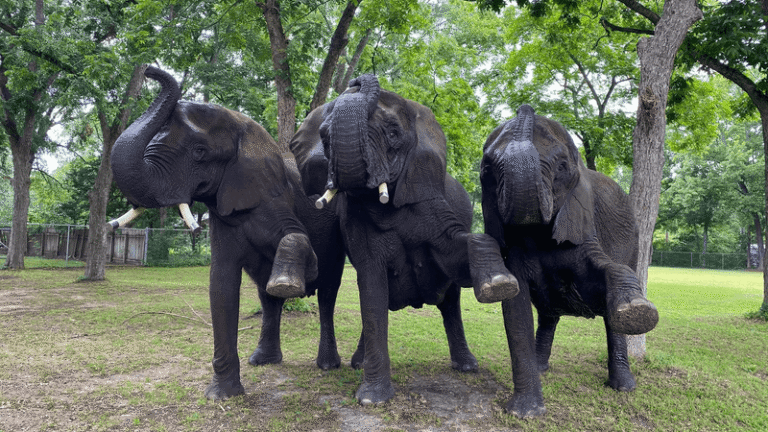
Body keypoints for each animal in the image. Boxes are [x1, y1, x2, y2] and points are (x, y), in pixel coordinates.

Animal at [110, 66, 347, 401]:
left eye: (199, 152)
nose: (149, 70)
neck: (241, 126)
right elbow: (221, 283)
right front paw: (222, 396)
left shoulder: (274, 195)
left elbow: (298, 240)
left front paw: (293, 280)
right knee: (266, 298)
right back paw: (262, 361)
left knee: (327, 295)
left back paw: (326, 365)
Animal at [290, 74, 519, 405]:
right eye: (324, 137)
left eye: (393, 133)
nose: (358, 80)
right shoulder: (353, 219)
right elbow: (371, 287)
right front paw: (372, 400)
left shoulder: (429, 198)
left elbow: (454, 256)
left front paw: (500, 284)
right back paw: (358, 363)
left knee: (451, 302)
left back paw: (466, 367)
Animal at [479, 105, 659, 418]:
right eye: (487, 169)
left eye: (562, 167)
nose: (526, 107)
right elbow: (515, 306)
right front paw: (525, 413)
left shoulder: (583, 220)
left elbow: (603, 274)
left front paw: (637, 311)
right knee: (548, 313)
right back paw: (542, 368)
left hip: (635, 241)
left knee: (610, 319)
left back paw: (623, 386)